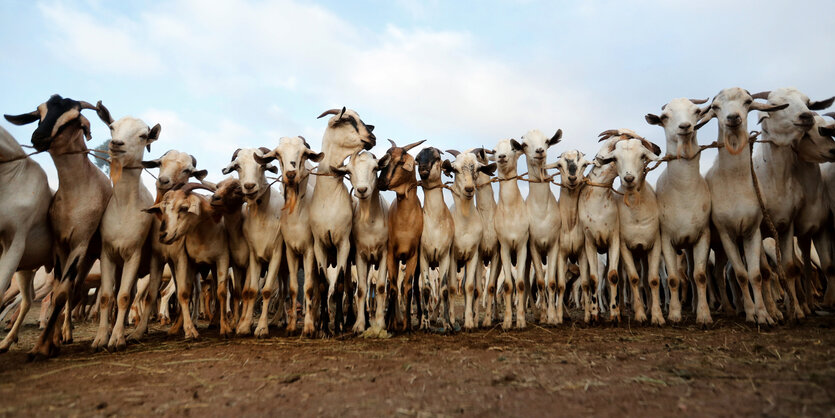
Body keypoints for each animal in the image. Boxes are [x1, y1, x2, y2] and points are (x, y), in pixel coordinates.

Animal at [5, 95, 111, 360]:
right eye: (40, 113)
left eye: (73, 118)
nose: (38, 136)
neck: (77, 193)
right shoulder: (60, 244)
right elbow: (58, 293)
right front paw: (47, 343)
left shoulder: (80, 243)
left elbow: (62, 293)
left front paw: (42, 347)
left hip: (88, 257)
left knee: (70, 290)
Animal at [596, 129, 664, 324]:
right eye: (615, 158)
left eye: (642, 156)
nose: (628, 178)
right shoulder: (624, 247)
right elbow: (633, 279)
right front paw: (640, 315)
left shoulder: (655, 244)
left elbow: (653, 280)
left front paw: (657, 316)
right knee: (622, 281)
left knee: (646, 280)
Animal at [648, 97, 712, 324]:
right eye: (665, 116)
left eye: (696, 111)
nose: (685, 126)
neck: (684, 193)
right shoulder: (666, 237)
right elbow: (674, 279)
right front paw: (674, 314)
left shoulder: (703, 235)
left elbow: (700, 276)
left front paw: (704, 315)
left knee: (692, 274)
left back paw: (694, 306)